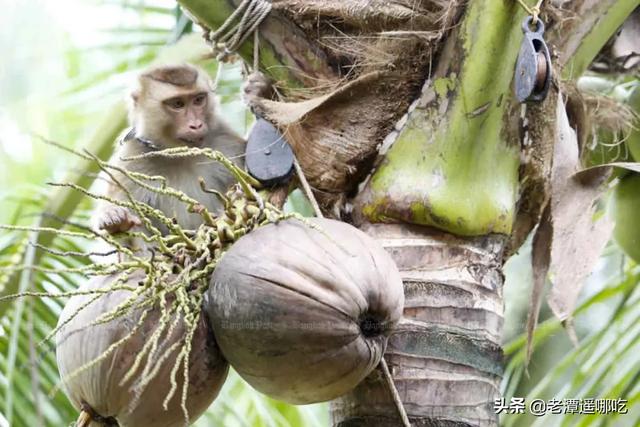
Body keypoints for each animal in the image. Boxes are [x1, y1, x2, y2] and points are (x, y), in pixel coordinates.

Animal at [94, 65, 246, 236]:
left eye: (198, 100)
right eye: (178, 104)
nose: (196, 125)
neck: (178, 155)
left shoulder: (224, 139)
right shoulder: (129, 160)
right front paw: (118, 221)